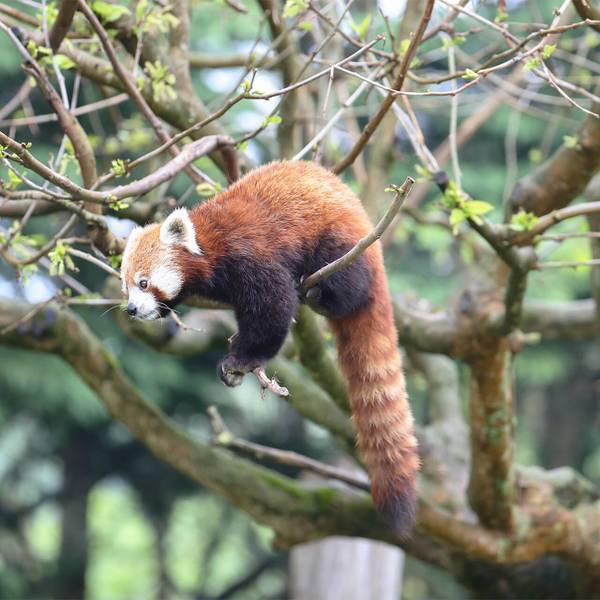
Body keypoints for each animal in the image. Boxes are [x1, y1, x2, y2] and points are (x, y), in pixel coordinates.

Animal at [121, 159, 420, 536]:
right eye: (126, 286)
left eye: (144, 283)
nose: (131, 309)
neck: (210, 245)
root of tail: (368, 223)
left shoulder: (250, 254)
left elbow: (273, 308)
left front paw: (242, 359)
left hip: (342, 242)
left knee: (349, 284)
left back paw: (322, 294)